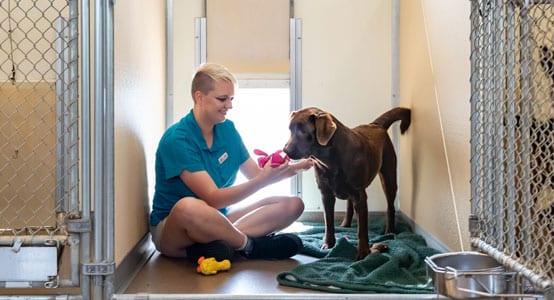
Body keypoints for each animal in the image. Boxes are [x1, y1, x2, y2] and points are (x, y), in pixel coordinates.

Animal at [282, 106, 408, 258]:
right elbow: (328, 222)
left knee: (390, 207)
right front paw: (328, 244)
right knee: (349, 205)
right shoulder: (326, 194)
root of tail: (375, 125)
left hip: (388, 176)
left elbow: (362, 229)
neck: (330, 160)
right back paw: (345, 224)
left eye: (303, 131)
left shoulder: (360, 195)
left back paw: (389, 230)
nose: (285, 150)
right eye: (290, 129)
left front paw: (363, 252)